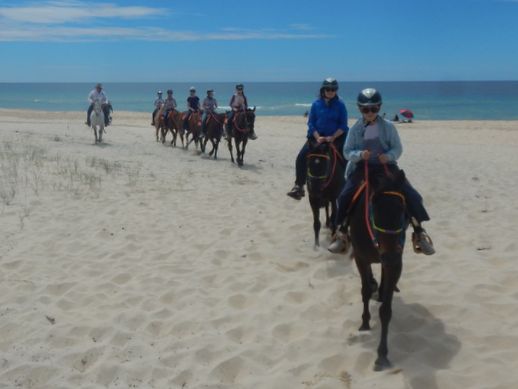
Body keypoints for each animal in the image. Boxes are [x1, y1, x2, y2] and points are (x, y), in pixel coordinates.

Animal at [350, 162, 410, 372]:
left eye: (402, 210)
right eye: (374, 209)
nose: (390, 256)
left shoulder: (395, 264)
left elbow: (386, 310)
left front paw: (382, 355)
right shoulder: (360, 258)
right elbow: (365, 290)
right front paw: (365, 322)